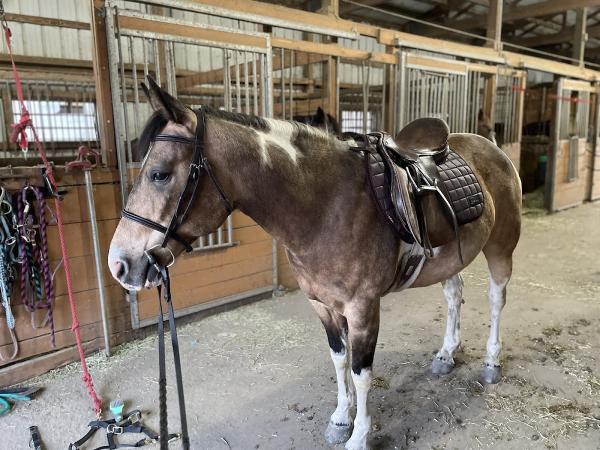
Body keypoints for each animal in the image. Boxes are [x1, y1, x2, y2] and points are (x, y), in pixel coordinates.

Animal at [110, 78, 524, 450]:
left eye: (159, 174)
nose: (119, 265)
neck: (327, 206)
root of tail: (492, 147)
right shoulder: (322, 305)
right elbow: (339, 361)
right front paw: (341, 419)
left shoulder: (363, 309)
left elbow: (361, 373)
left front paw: (359, 436)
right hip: (450, 259)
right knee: (454, 296)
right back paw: (445, 355)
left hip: (501, 247)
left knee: (496, 300)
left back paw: (492, 363)